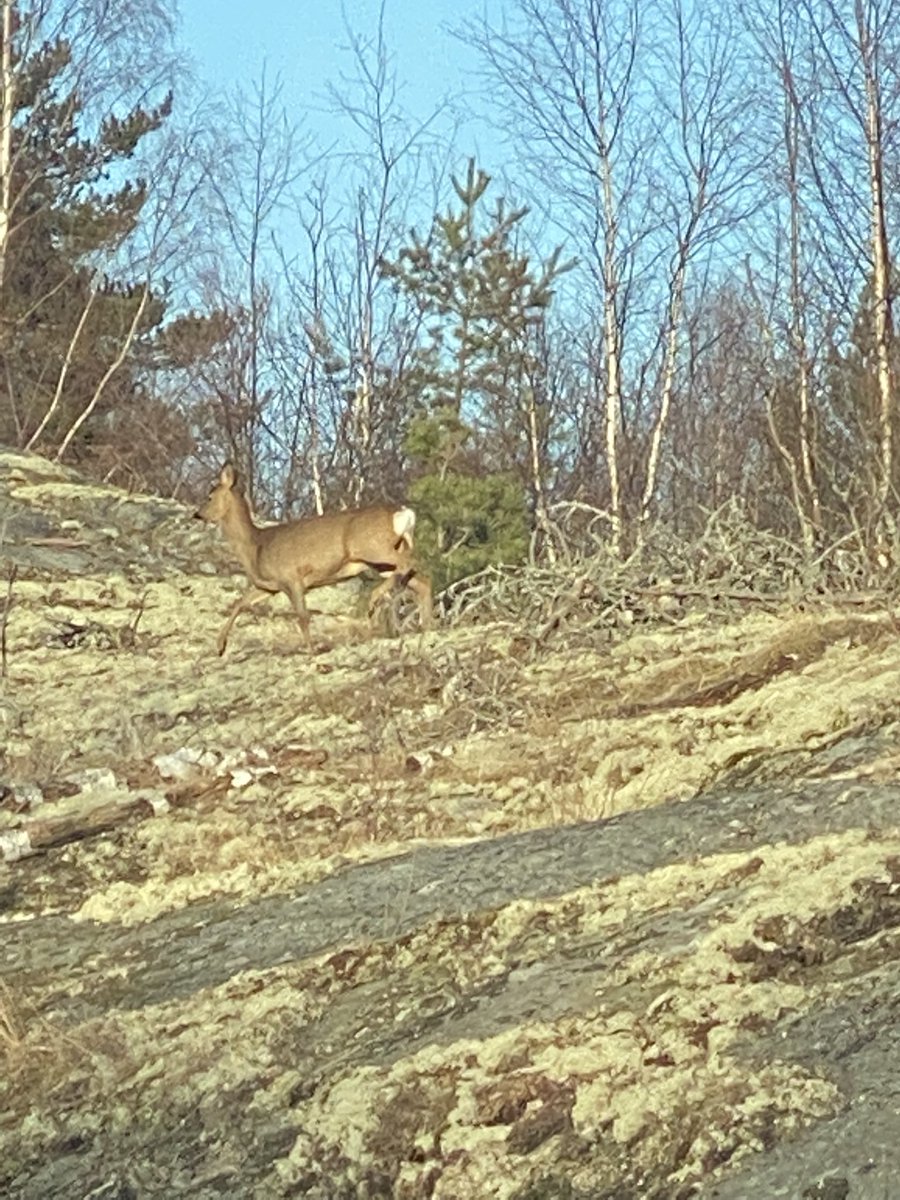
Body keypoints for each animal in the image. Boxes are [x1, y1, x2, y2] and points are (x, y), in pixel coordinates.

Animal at [195, 463, 433, 655]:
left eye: (209, 497)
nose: (197, 514)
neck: (256, 546)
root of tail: (404, 513)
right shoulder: (269, 586)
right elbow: (240, 603)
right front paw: (220, 646)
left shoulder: (291, 577)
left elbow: (302, 616)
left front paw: (311, 650)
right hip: (381, 560)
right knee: (420, 580)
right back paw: (426, 625)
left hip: (373, 548)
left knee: (410, 563)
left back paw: (375, 600)